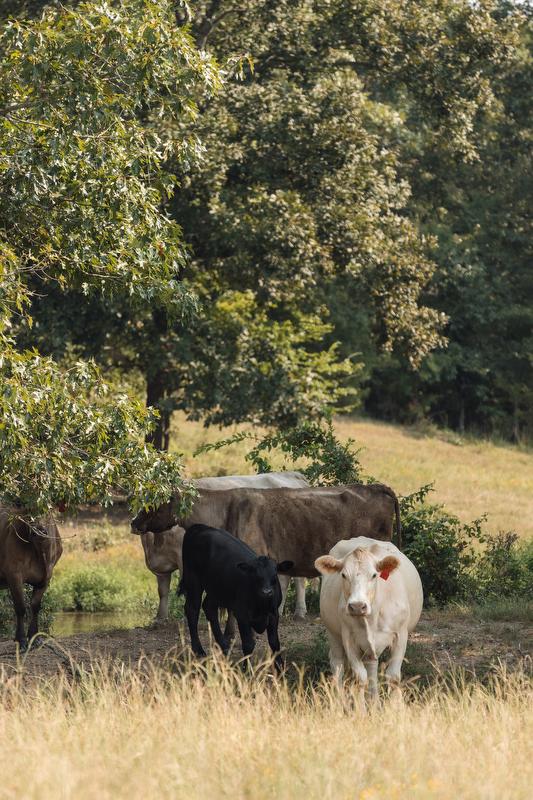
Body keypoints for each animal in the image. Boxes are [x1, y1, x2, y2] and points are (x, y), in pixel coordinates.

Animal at [0, 508, 63, 650]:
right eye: (27, 510)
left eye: (48, 511)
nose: (38, 531)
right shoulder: (14, 574)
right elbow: (20, 607)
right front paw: (21, 640)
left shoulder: (46, 578)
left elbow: (35, 606)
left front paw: (35, 638)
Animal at [137, 471, 313, 623]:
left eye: (155, 503)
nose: (134, 523)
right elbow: (163, 591)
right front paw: (160, 618)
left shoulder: (184, 561)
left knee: (299, 579)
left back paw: (299, 612)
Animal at [179, 523, 293, 671]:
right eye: (256, 575)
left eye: (274, 575)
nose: (267, 592)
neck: (261, 605)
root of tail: (200, 527)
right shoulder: (242, 614)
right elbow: (249, 644)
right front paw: (246, 669)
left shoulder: (274, 613)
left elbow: (274, 643)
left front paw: (280, 669)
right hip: (193, 580)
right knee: (192, 609)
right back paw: (199, 650)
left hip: (217, 588)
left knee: (209, 607)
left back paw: (224, 648)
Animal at [315, 536, 423, 702]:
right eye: (343, 575)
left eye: (374, 575)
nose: (357, 606)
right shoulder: (348, 638)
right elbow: (360, 678)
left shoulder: (401, 635)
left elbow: (393, 677)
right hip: (332, 632)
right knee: (337, 663)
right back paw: (340, 700)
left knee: (371, 666)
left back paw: (374, 701)